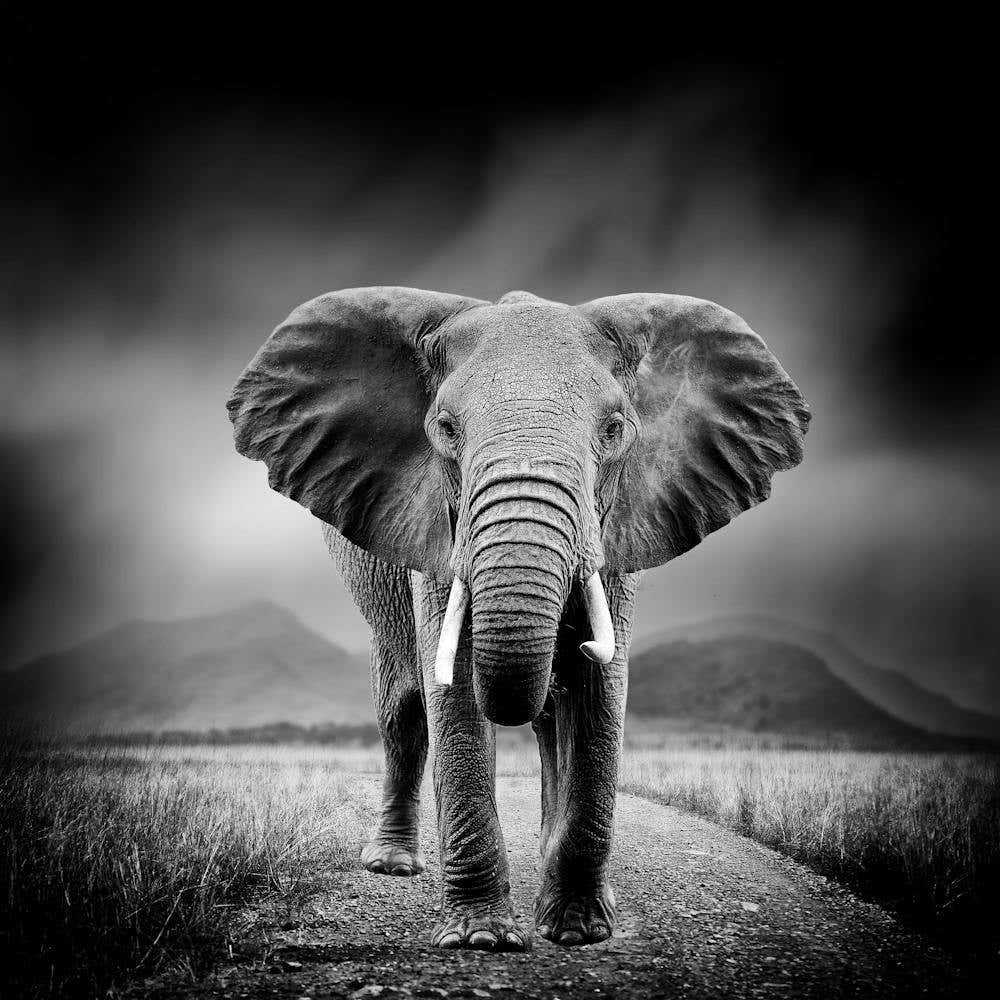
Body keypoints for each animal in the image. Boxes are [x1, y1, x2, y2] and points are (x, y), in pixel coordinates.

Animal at [227, 287, 809, 951]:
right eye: (445, 429)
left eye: (615, 430)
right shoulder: (438, 528)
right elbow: (451, 689)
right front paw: (481, 939)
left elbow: (599, 690)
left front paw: (578, 930)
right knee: (403, 707)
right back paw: (393, 865)